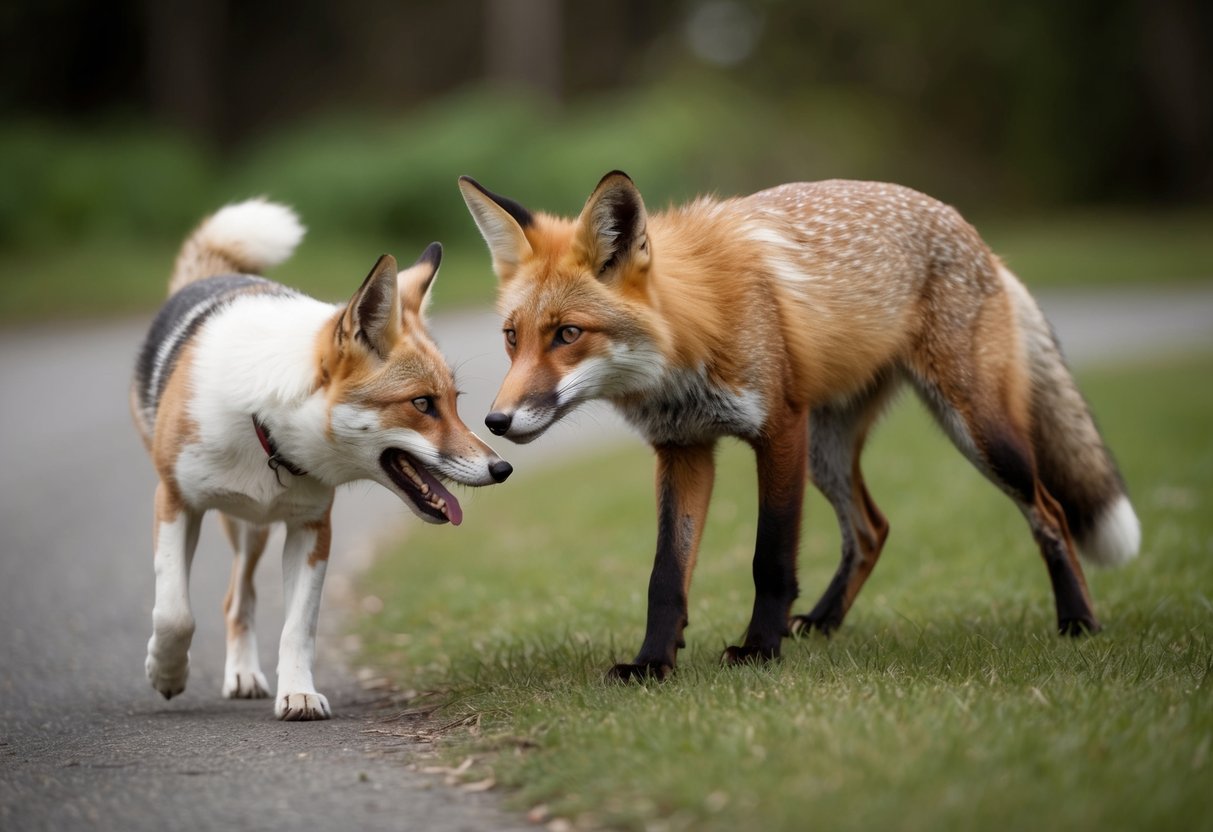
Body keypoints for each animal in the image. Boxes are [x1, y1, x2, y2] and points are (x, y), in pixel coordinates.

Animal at [132, 198, 512, 719]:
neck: (268, 429)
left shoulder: (312, 528)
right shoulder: (174, 501)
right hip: (240, 524)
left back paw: (246, 674)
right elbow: (174, 614)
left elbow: (299, 628)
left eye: (455, 402)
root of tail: (215, 276)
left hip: (255, 530)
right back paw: (234, 674)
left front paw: (298, 693)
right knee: (233, 600)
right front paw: (166, 674)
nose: (502, 468)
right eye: (421, 404)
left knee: (240, 601)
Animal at [458, 171, 1141, 681]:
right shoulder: (685, 448)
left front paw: (759, 649)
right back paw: (823, 623)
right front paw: (653, 663)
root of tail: (979, 239)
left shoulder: (778, 430)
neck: (694, 332)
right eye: (512, 337)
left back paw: (1078, 622)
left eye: (568, 334)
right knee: (872, 528)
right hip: (829, 449)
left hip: (977, 432)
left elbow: (771, 557)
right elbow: (665, 576)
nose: (496, 420)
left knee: (1050, 512)